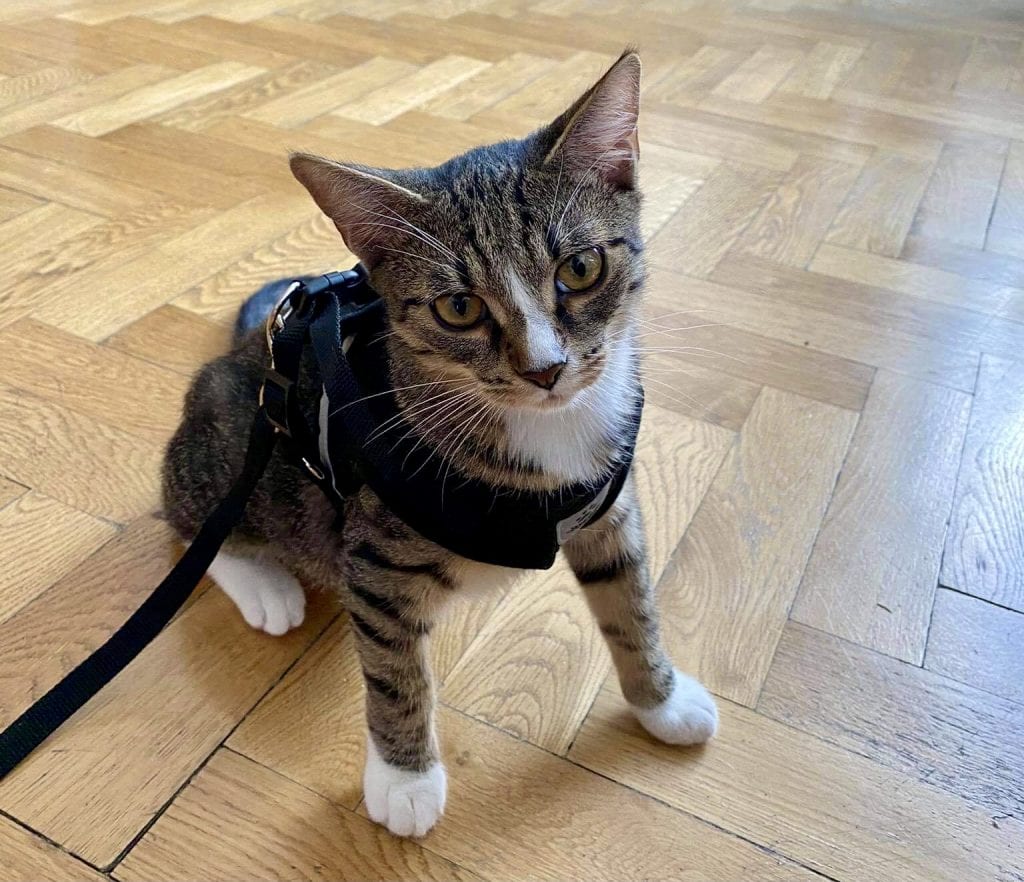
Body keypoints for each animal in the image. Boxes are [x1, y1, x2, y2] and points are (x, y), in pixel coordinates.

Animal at [161, 49, 720, 840]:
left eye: (580, 269)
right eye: (459, 308)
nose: (545, 369)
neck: (544, 430)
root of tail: (248, 347)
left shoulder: (607, 507)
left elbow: (630, 598)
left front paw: (662, 701)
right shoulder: (377, 559)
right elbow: (394, 670)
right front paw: (404, 780)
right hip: (234, 450)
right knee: (193, 520)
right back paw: (265, 584)